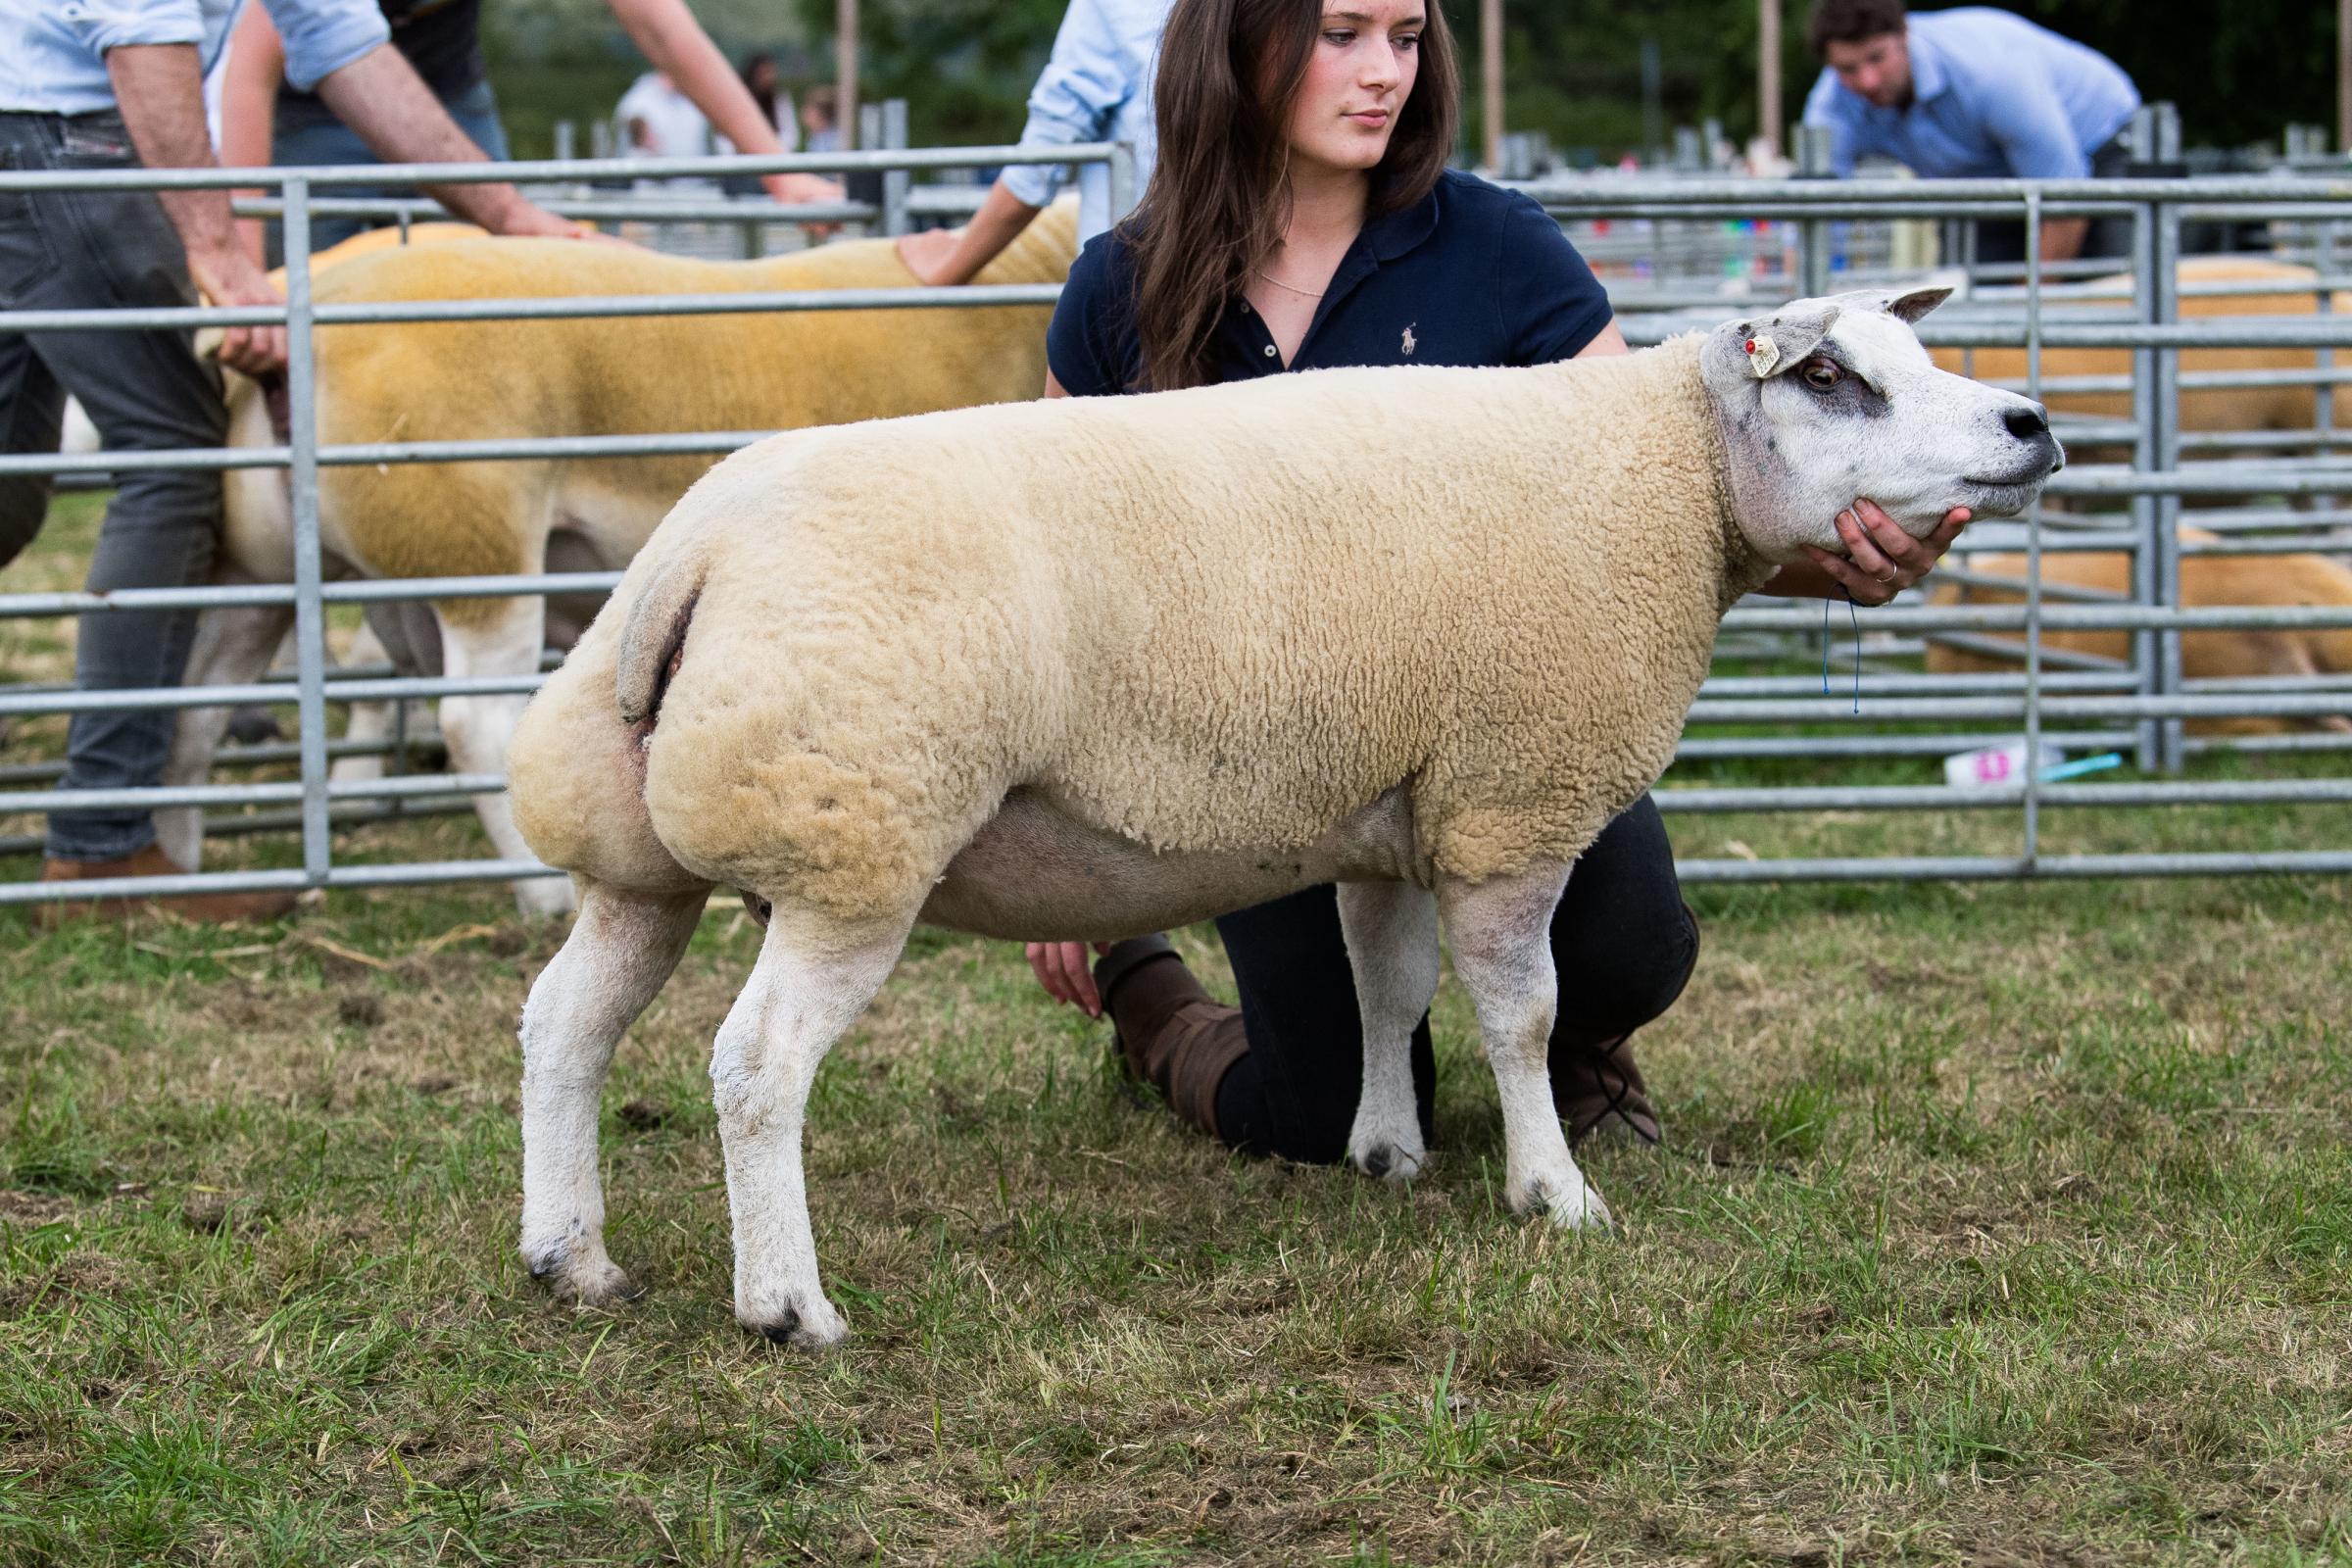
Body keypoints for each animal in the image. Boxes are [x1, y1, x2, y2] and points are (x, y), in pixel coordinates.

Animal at [501, 285, 2060, 1353]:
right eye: (1828, 376)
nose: (2032, 425)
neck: (1663, 477)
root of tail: (693, 555)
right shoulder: (1511, 799)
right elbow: (1525, 1016)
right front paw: (1553, 1195)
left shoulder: (1400, 806)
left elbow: (1387, 987)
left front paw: (1386, 1152)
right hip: (852, 833)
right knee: (757, 1065)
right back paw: (788, 1305)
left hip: (639, 849)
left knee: (565, 1025)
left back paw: (570, 1258)